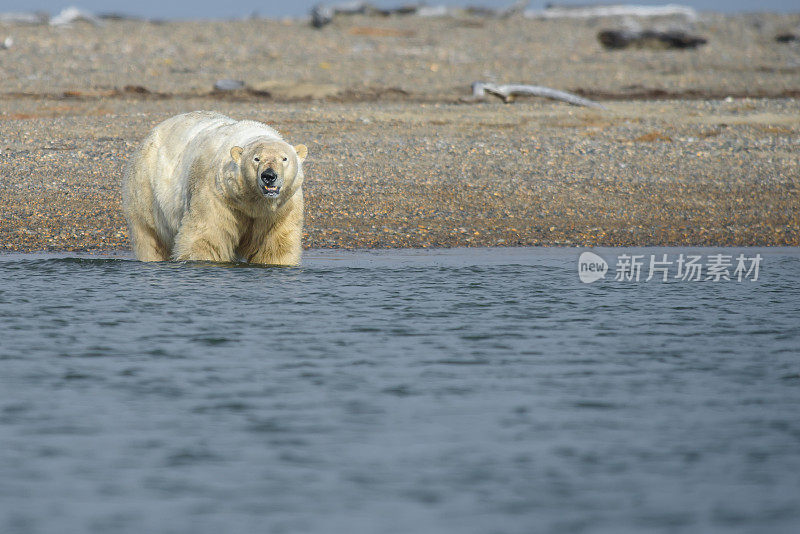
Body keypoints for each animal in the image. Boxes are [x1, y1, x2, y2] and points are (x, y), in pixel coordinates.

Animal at [122, 111, 310, 266]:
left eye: (284, 158)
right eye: (256, 158)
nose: (269, 176)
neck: (251, 201)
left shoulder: (282, 208)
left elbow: (276, 243)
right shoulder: (216, 193)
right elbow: (207, 235)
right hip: (145, 185)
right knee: (149, 236)